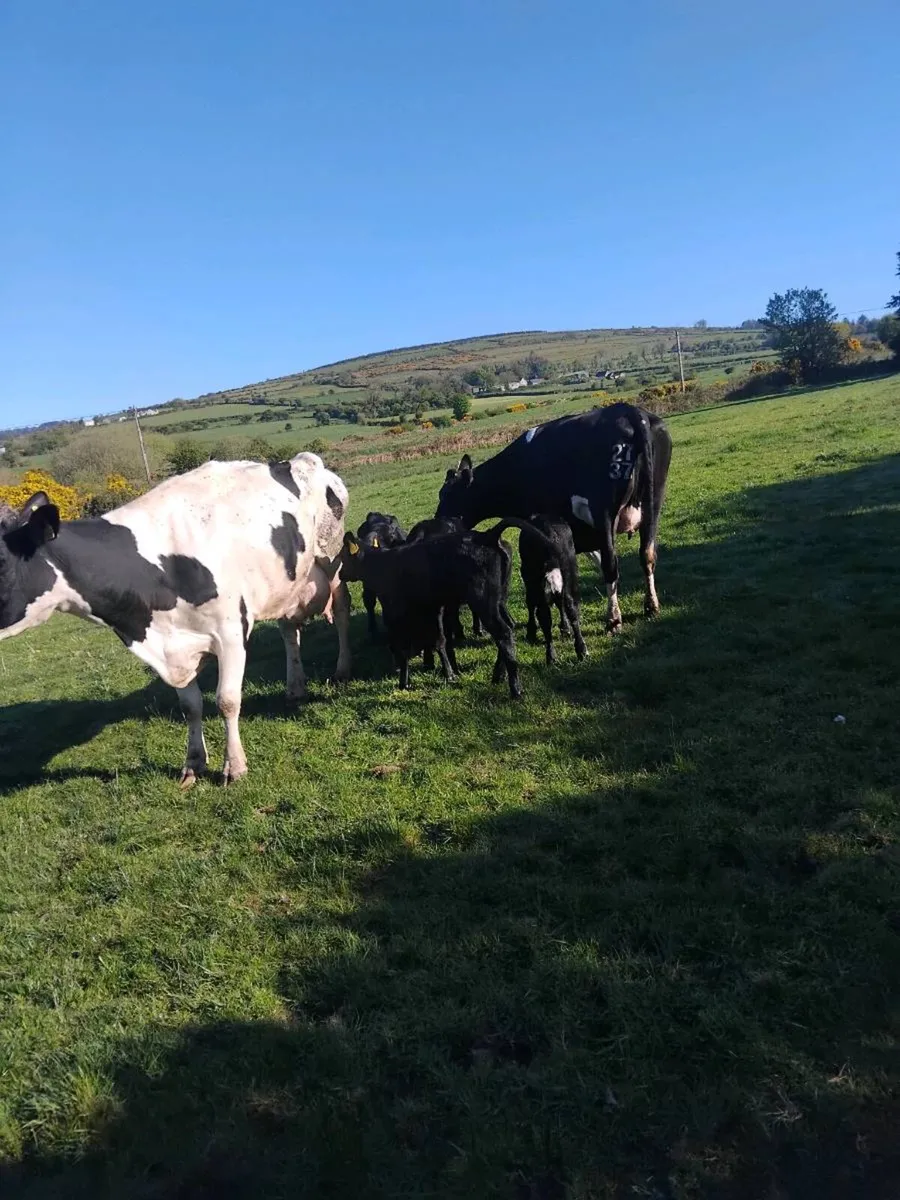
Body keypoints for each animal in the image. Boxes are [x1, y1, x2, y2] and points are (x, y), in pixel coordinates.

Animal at [0, 453, 351, 785]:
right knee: (288, 630)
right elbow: (190, 706)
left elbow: (227, 701)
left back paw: (341, 669)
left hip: (332, 558)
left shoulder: (231, 633)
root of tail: (298, 460)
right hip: (285, 583)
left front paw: (234, 767)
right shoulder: (175, 646)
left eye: (2, 563)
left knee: (342, 611)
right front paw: (193, 764)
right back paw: (295, 687)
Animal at [436, 403, 672, 633]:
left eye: (446, 495)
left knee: (611, 564)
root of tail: (630, 410)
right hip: (653, 504)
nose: (439, 520)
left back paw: (613, 619)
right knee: (647, 554)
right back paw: (651, 606)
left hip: (604, 512)